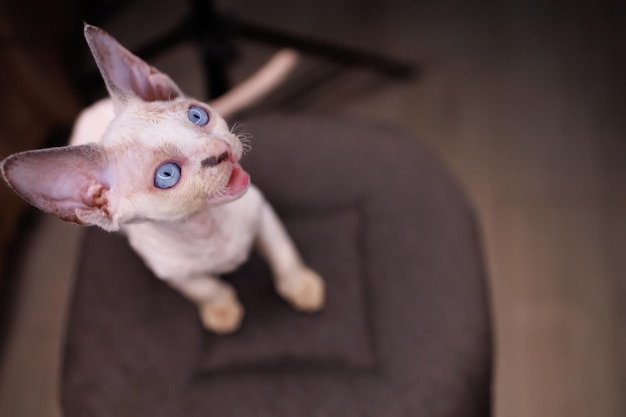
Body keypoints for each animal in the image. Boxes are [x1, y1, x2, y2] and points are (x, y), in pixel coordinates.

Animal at [0, 24, 322, 334]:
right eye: (167, 175)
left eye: (197, 116)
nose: (222, 151)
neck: (206, 226)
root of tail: (87, 111)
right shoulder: (171, 271)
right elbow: (205, 288)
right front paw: (221, 311)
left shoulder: (261, 211)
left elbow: (283, 254)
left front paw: (302, 288)